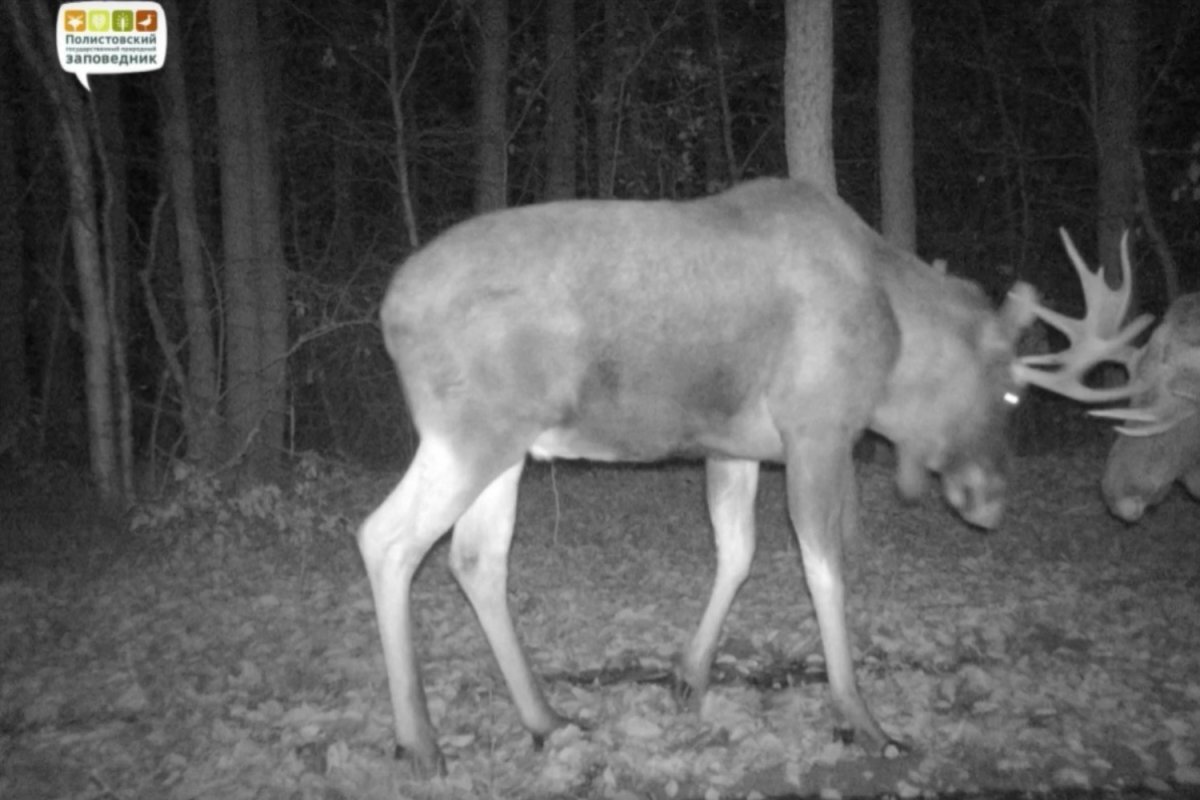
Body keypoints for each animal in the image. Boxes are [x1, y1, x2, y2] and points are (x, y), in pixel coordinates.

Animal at [357, 178, 1152, 777]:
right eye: (1012, 394)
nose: (991, 503)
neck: (893, 343)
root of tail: (388, 309)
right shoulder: (817, 426)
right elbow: (823, 568)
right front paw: (864, 721)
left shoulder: (734, 446)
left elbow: (735, 553)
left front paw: (689, 674)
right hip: (469, 428)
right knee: (386, 538)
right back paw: (420, 741)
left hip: (509, 444)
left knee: (475, 556)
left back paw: (547, 719)